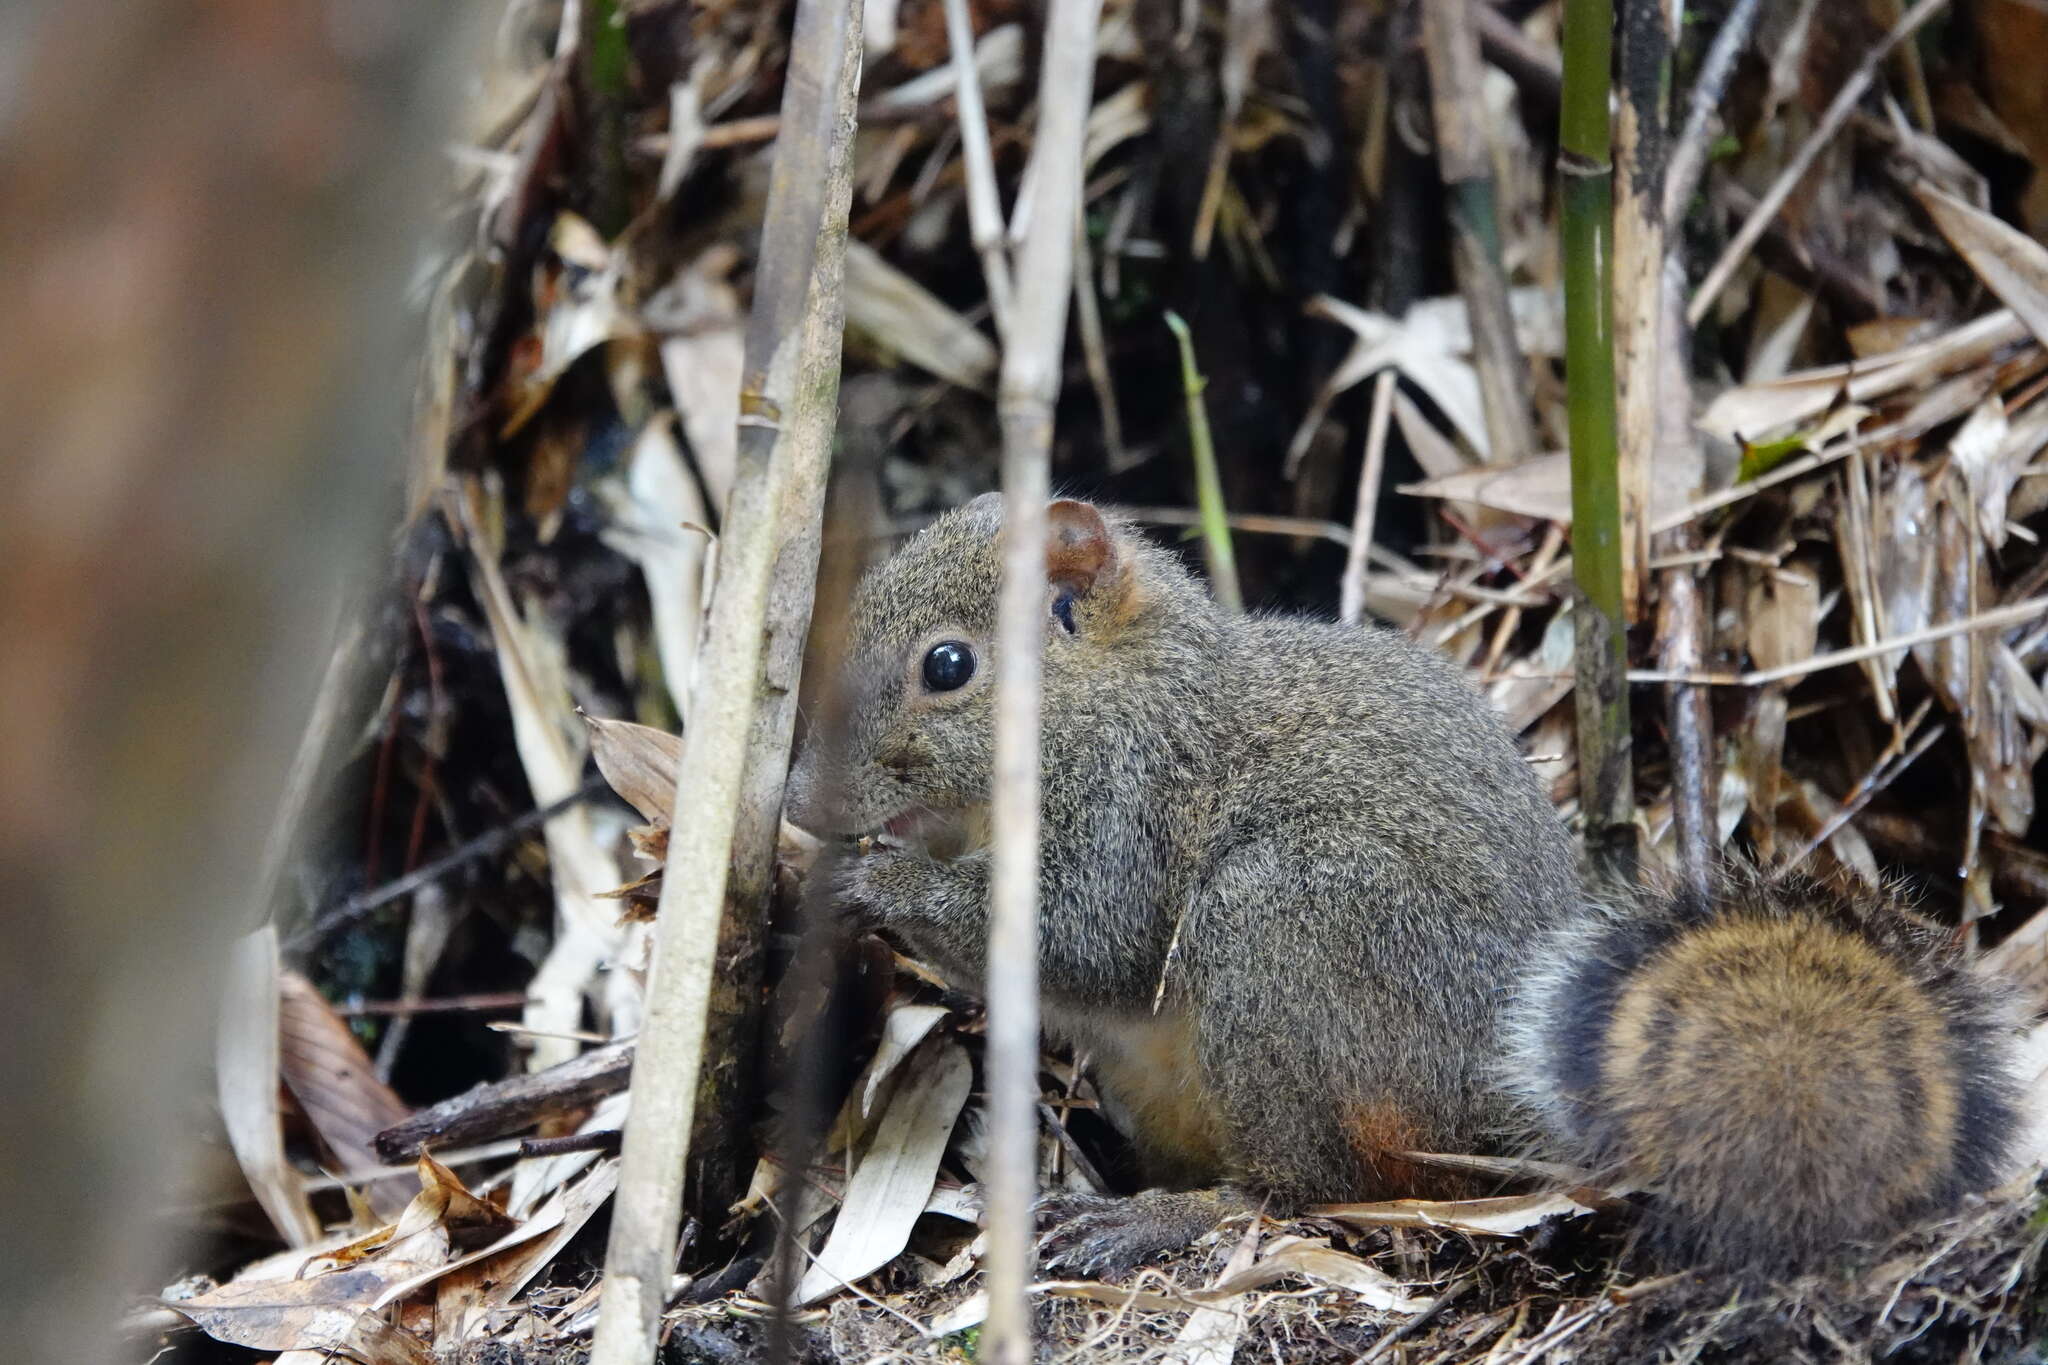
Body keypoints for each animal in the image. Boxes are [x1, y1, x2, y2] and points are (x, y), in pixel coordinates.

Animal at [782, 497, 2015, 1277]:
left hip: (1284, 928)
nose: (800, 800)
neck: (1110, 692)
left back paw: (1171, 1215)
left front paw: (870, 881)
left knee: (1307, 1186)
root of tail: (1498, 1107)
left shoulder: (1136, 790)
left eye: (948, 666)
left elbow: (1084, 935)